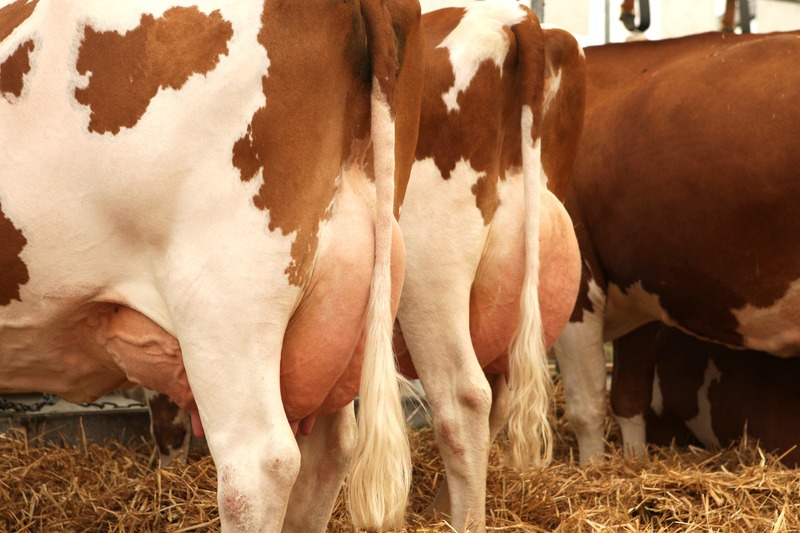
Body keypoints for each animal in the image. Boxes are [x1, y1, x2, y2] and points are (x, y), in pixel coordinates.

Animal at [552, 30, 800, 466]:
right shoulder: (638, 292)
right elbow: (628, 396)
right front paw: (634, 465)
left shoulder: (579, 282)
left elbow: (587, 405)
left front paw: (592, 470)